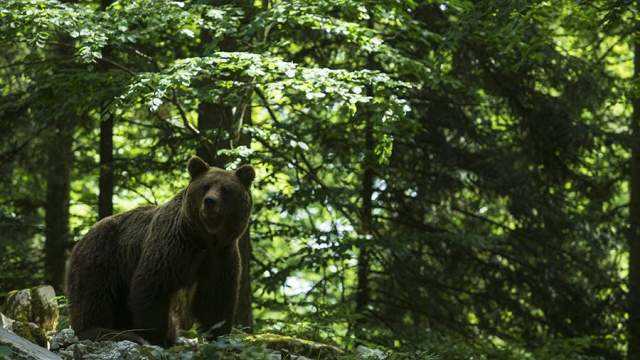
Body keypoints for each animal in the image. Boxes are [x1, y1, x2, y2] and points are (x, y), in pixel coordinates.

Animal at [65, 155, 255, 346]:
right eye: (205, 186)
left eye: (225, 189)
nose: (210, 201)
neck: (204, 238)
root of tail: (81, 238)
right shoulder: (173, 245)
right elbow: (153, 285)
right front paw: (158, 336)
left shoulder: (220, 255)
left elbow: (215, 297)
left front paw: (218, 334)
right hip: (102, 256)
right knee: (93, 295)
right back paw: (105, 331)